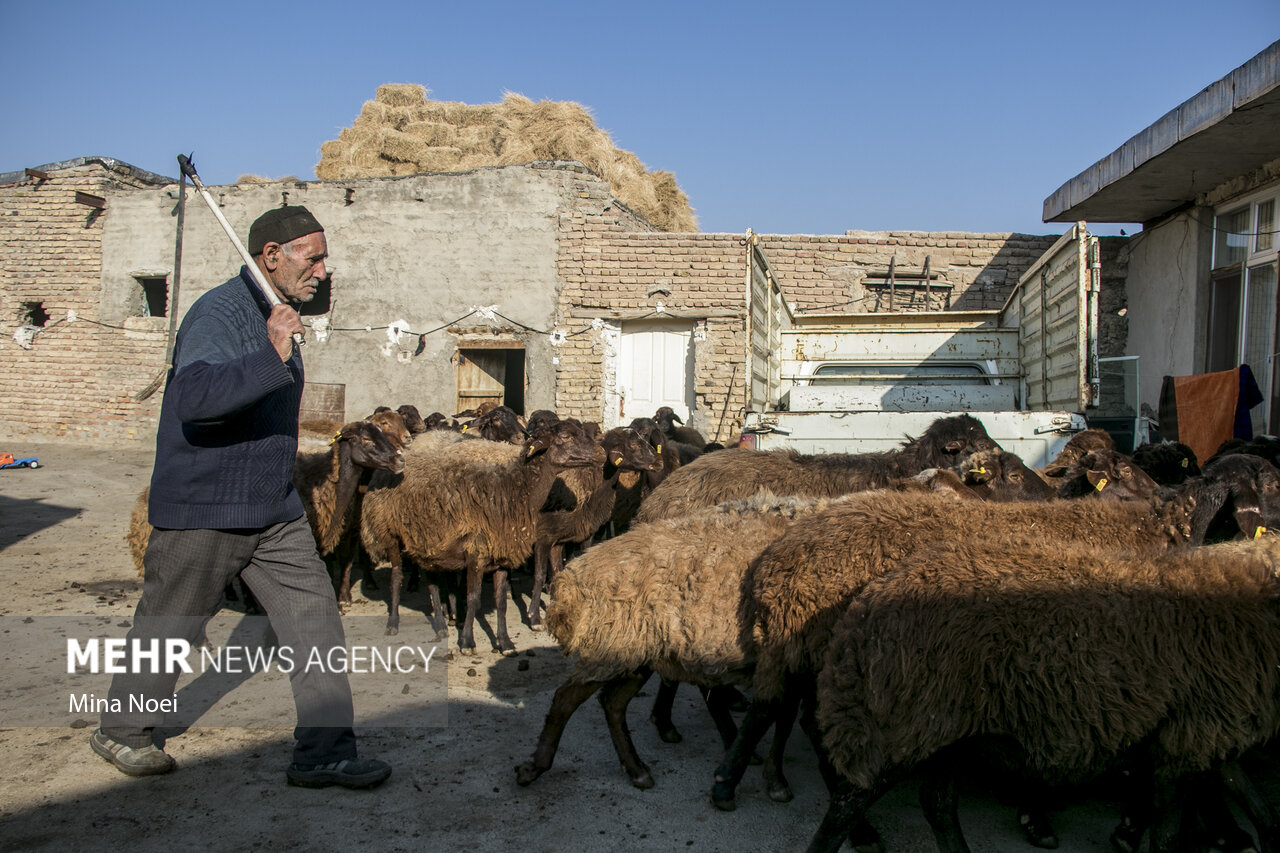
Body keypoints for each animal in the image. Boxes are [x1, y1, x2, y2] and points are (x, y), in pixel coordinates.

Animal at [360, 414, 599, 648]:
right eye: (566, 436)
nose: (600, 453)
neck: (516, 490)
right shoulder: (477, 553)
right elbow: (473, 598)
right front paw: (467, 641)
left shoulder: (501, 553)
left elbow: (501, 601)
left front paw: (505, 642)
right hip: (389, 534)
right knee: (396, 576)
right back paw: (394, 623)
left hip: (424, 541)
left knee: (432, 584)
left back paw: (441, 626)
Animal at [803, 535, 1280, 850]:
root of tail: (865, 607)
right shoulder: (1185, 738)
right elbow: (1167, 837)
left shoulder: (1207, 731)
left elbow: (1256, 804)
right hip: (902, 726)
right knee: (845, 807)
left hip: (946, 731)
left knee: (937, 805)